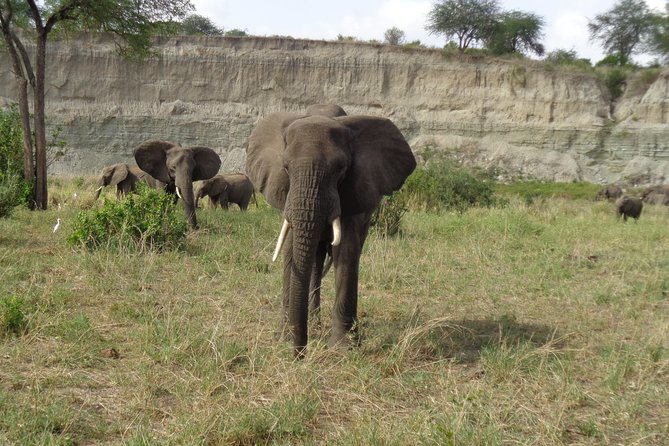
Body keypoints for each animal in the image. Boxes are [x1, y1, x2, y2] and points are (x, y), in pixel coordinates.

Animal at [245, 110, 414, 356]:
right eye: (285, 167)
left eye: (341, 169)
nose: (300, 355)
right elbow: (290, 250)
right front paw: (285, 338)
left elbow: (346, 252)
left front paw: (343, 349)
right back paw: (314, 322)